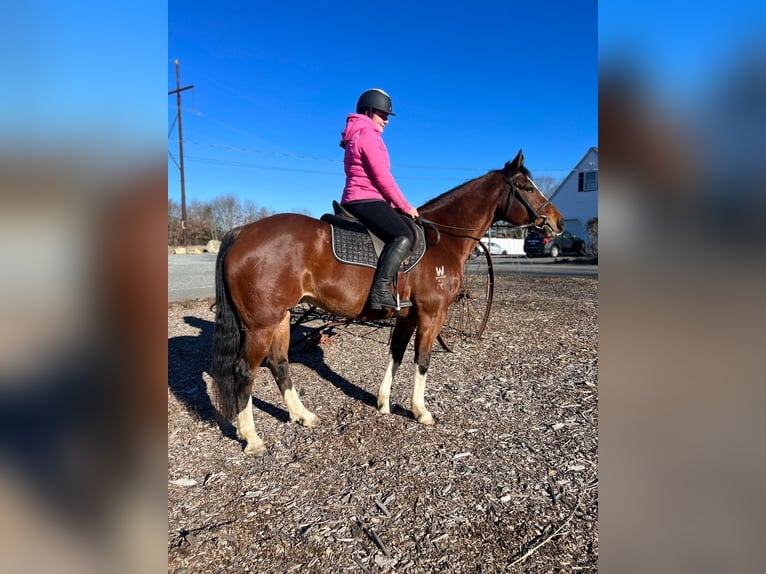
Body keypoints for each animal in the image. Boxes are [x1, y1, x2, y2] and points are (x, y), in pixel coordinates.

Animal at [210, 151, 564, 456]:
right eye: (527, 187)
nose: (557, 222)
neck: (443, 240)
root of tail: (241, 232)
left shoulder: (407, 316)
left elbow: (395, 355)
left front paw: (383, 403)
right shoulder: (432, 314)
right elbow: (422, 360)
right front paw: (421, 411)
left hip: (280, 319)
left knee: (279, 364)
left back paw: (303, 415)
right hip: (262, 324)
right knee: (245, 371)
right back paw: (252, 438)